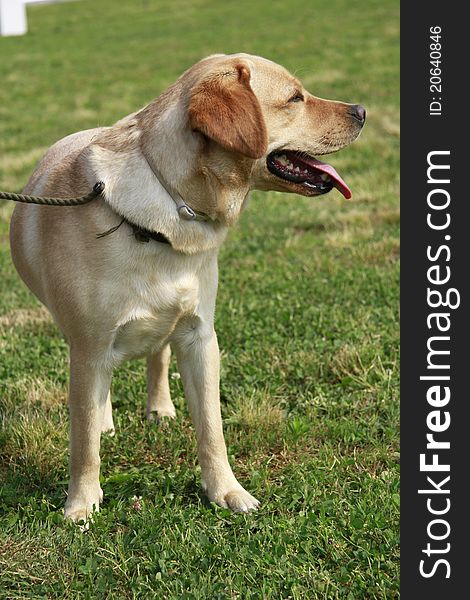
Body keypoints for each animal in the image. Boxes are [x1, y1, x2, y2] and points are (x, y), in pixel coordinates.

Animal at [9, 52, 366, 520]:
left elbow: (212, 429)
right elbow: (83, 440)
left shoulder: (200, 336)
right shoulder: (89, 348)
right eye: (295, 98)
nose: (362, 111)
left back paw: (160, 407)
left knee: (157, 357)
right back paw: (106, 421)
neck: (167, 210)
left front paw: (227, 491)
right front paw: (81, 504)